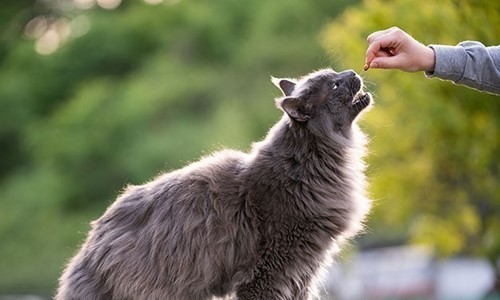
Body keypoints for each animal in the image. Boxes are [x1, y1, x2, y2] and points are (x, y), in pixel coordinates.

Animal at [56, 68, 374, 300]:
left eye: (335, 73)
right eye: (335, 85)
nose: (352, 71)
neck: (310, 164)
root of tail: (89, 248)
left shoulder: (304, 269)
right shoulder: (271, 270)